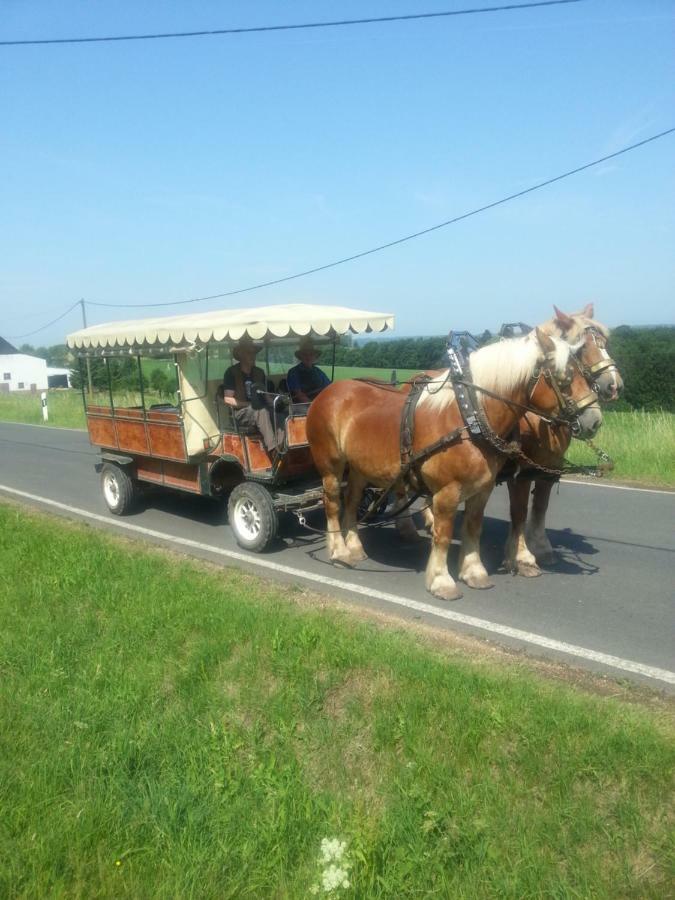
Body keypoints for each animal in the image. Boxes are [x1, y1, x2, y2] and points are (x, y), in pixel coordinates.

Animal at [306, 326, 604, 600]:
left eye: (585, 374)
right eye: (565, 379)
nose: (595, 420)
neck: (470, 417)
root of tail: (330, 391)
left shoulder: (482, 489)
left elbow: (473, 527)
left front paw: (474, 572)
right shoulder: (449, 492)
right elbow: (444, 534)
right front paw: (441, 580)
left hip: (358, 468)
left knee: (352, 501)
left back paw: (355, 547)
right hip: (331, 464)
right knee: (333, 502)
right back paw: (339, 551)